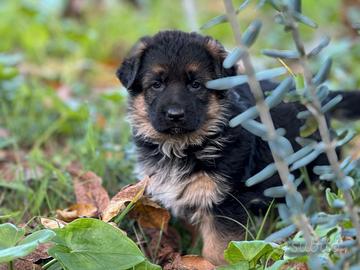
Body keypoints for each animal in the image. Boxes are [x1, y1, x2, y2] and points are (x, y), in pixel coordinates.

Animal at [116, 30, 360, 264]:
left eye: (195, 85)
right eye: (156, 85)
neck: (184, 146)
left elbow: (218, 248)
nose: (175, 115)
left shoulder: (225, 200)